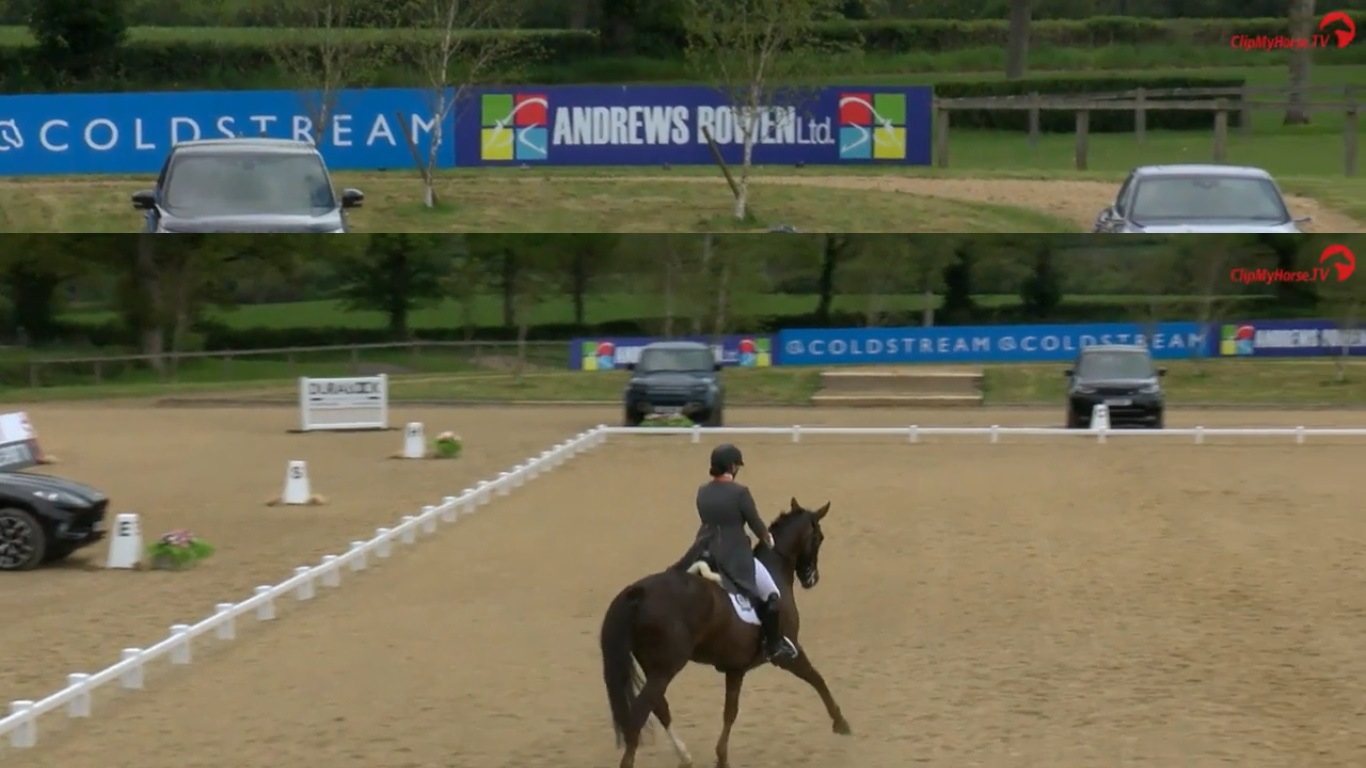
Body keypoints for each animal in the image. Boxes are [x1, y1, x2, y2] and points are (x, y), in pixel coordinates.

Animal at [599, 498, 851, 768]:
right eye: (819, 538)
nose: (811, 578)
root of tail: (637, 593)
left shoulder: (735, 667)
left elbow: (730, 712)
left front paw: (721, 757)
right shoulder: (788, 653)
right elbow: (817, 678)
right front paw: (841, 723)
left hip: (654, 667)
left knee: (659, 708)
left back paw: (685, 756)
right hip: (665, 668)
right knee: (639, 714)